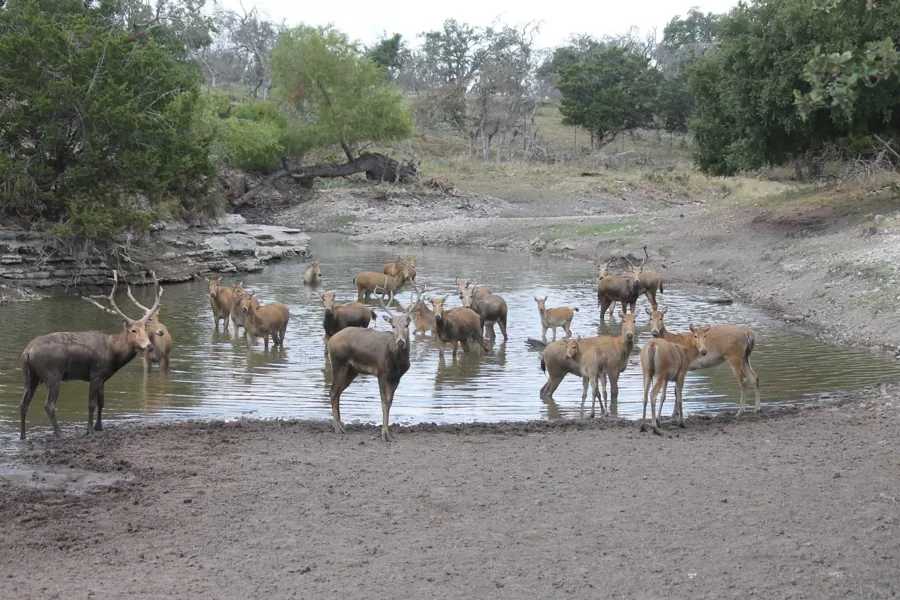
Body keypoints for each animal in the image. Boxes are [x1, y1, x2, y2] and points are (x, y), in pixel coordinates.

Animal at [18, 270, 163, 439]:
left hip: (30, 375)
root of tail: (28, 351)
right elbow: (91, 404)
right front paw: (89, 430)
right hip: (53, 374)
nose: (149, 345)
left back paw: (23, 436)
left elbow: (102, 402)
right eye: (133, 330)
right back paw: (60, 433)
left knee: (23, 402)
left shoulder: (103, 377)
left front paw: (99, 427)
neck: (114, 352)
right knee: (49, 404)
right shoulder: (96, 374)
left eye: (145, 329)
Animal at [326, 285, 422, 442]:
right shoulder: (381, 373)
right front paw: (384, 434)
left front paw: (390, 433)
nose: (400, 342)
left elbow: (390, 402)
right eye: (393, 325)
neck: (396, 362)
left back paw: (341, 424)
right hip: (338, 362)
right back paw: (337, 428)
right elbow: (384, 402)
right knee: (333, 391)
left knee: (338, 391)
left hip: (352, 370)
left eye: (407, 325)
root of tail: (330, 341)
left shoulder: (396, 377)